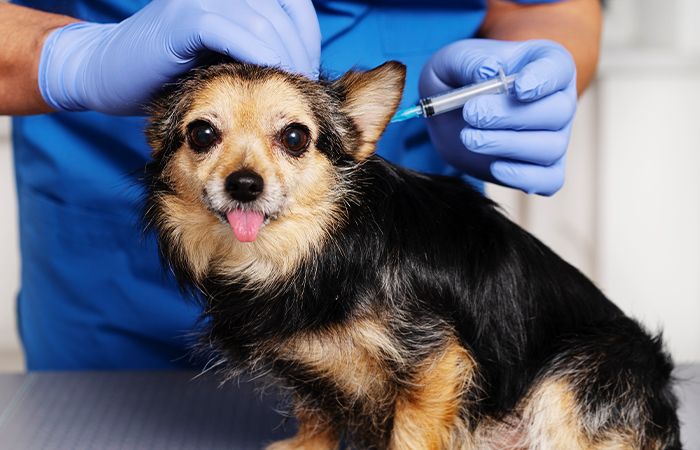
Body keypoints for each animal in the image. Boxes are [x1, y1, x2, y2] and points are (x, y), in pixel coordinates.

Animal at [144, 60, 684, 450]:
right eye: (202, 134)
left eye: (295, 137)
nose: (244, 184)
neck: (316, 252)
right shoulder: (310, 368)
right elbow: (316, 411)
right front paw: (307, 445)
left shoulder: (437, 360)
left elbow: (411, 431)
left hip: (579, 375)